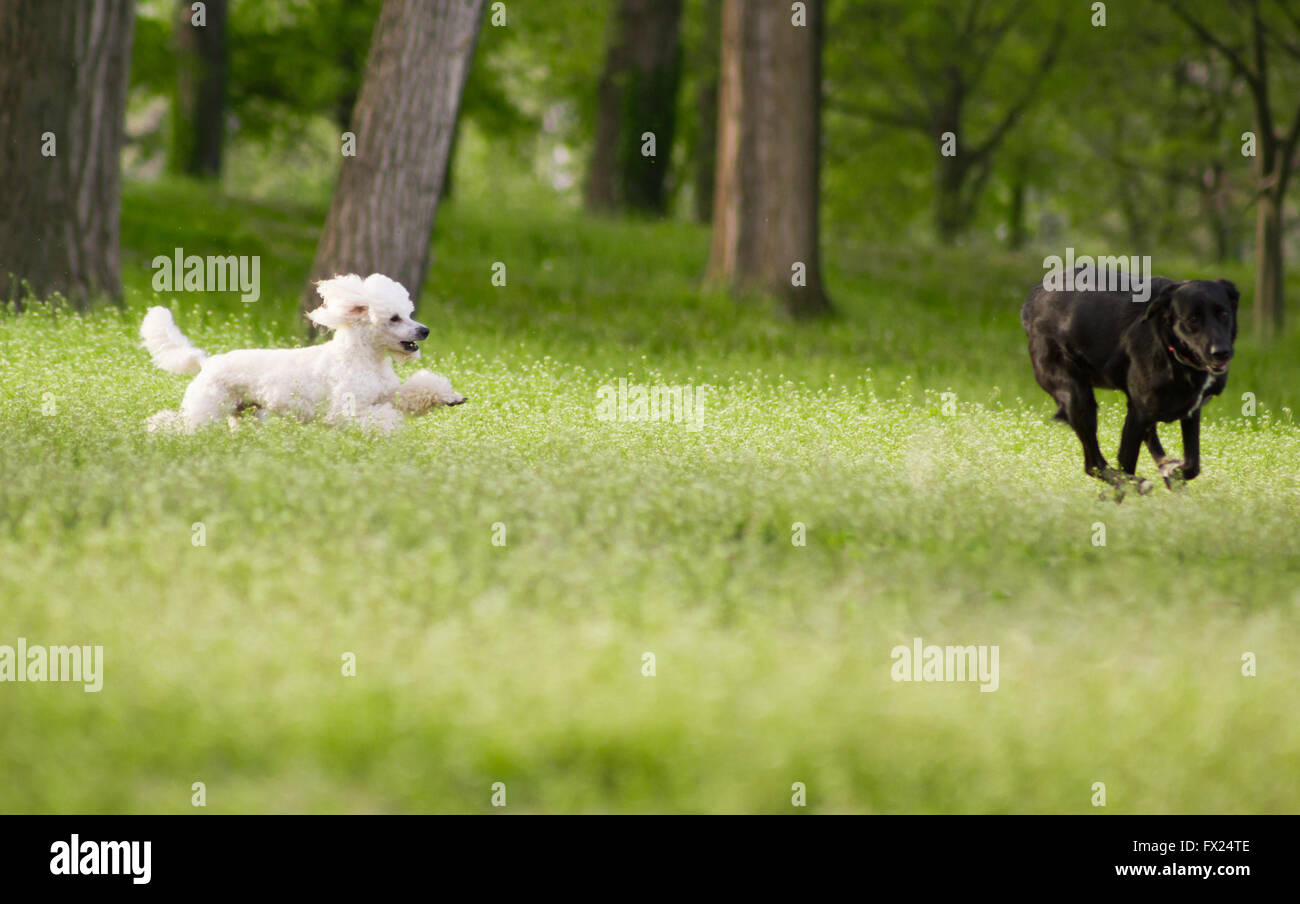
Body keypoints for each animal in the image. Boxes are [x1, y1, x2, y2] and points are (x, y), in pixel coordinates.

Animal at [1013, 277, 1237, 494]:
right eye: (1193, 319)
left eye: (1224, 314)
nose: (1221, 352)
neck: (1170, 348)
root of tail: (1035, 296)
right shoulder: (1138, 414)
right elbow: (1127, 463)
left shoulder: (1189, 411)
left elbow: (1192, 464)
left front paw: (1174, 474)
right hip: (1078, 398)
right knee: (1093, 464)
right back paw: (1135, 483)